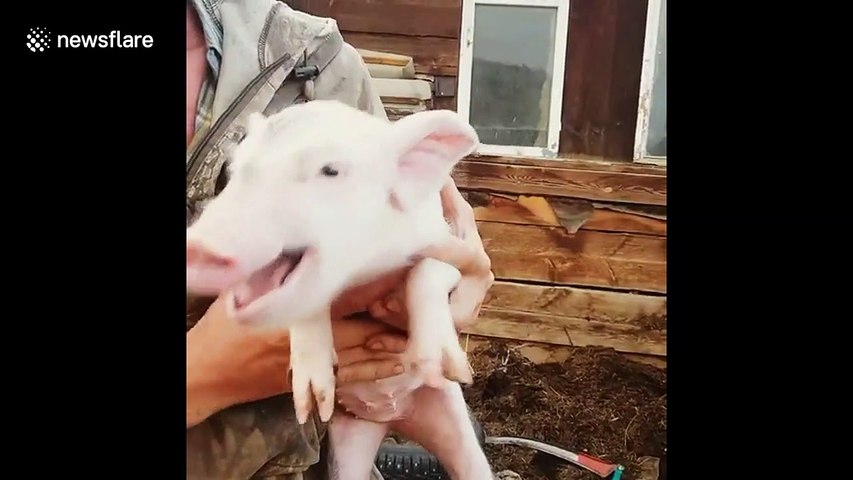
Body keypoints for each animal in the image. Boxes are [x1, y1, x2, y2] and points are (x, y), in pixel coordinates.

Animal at [186, 99, 494, 480]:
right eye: (236, 168)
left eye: (330, 170)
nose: (196, 246)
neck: (363, 270)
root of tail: (393, 417)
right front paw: (310, 398)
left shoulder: (447, 241)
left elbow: (430, 273)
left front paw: (435, 364)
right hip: (349, 438)